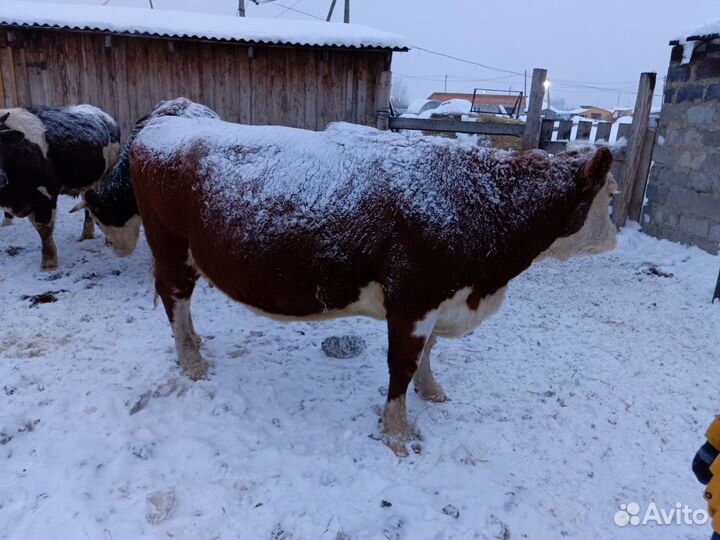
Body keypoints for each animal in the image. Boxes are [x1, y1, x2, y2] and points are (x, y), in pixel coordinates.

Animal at [0, 105, 120, 270]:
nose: (0, 178)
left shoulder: (45, 193)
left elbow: (43, 228)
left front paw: (48, 263)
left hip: (108, 173)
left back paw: (109, 239)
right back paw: (86, 236)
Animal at [128, 118, 618, 456]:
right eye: (611, 195)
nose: (615, 237)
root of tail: (166, 118)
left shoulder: (439, 300)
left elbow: (427, 354)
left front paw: (431, 390)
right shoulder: (413, 298)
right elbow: (401, 366)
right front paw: (397, 433)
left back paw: (195, 344)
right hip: (170, 248)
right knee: (175, 300)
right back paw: (192, 362)